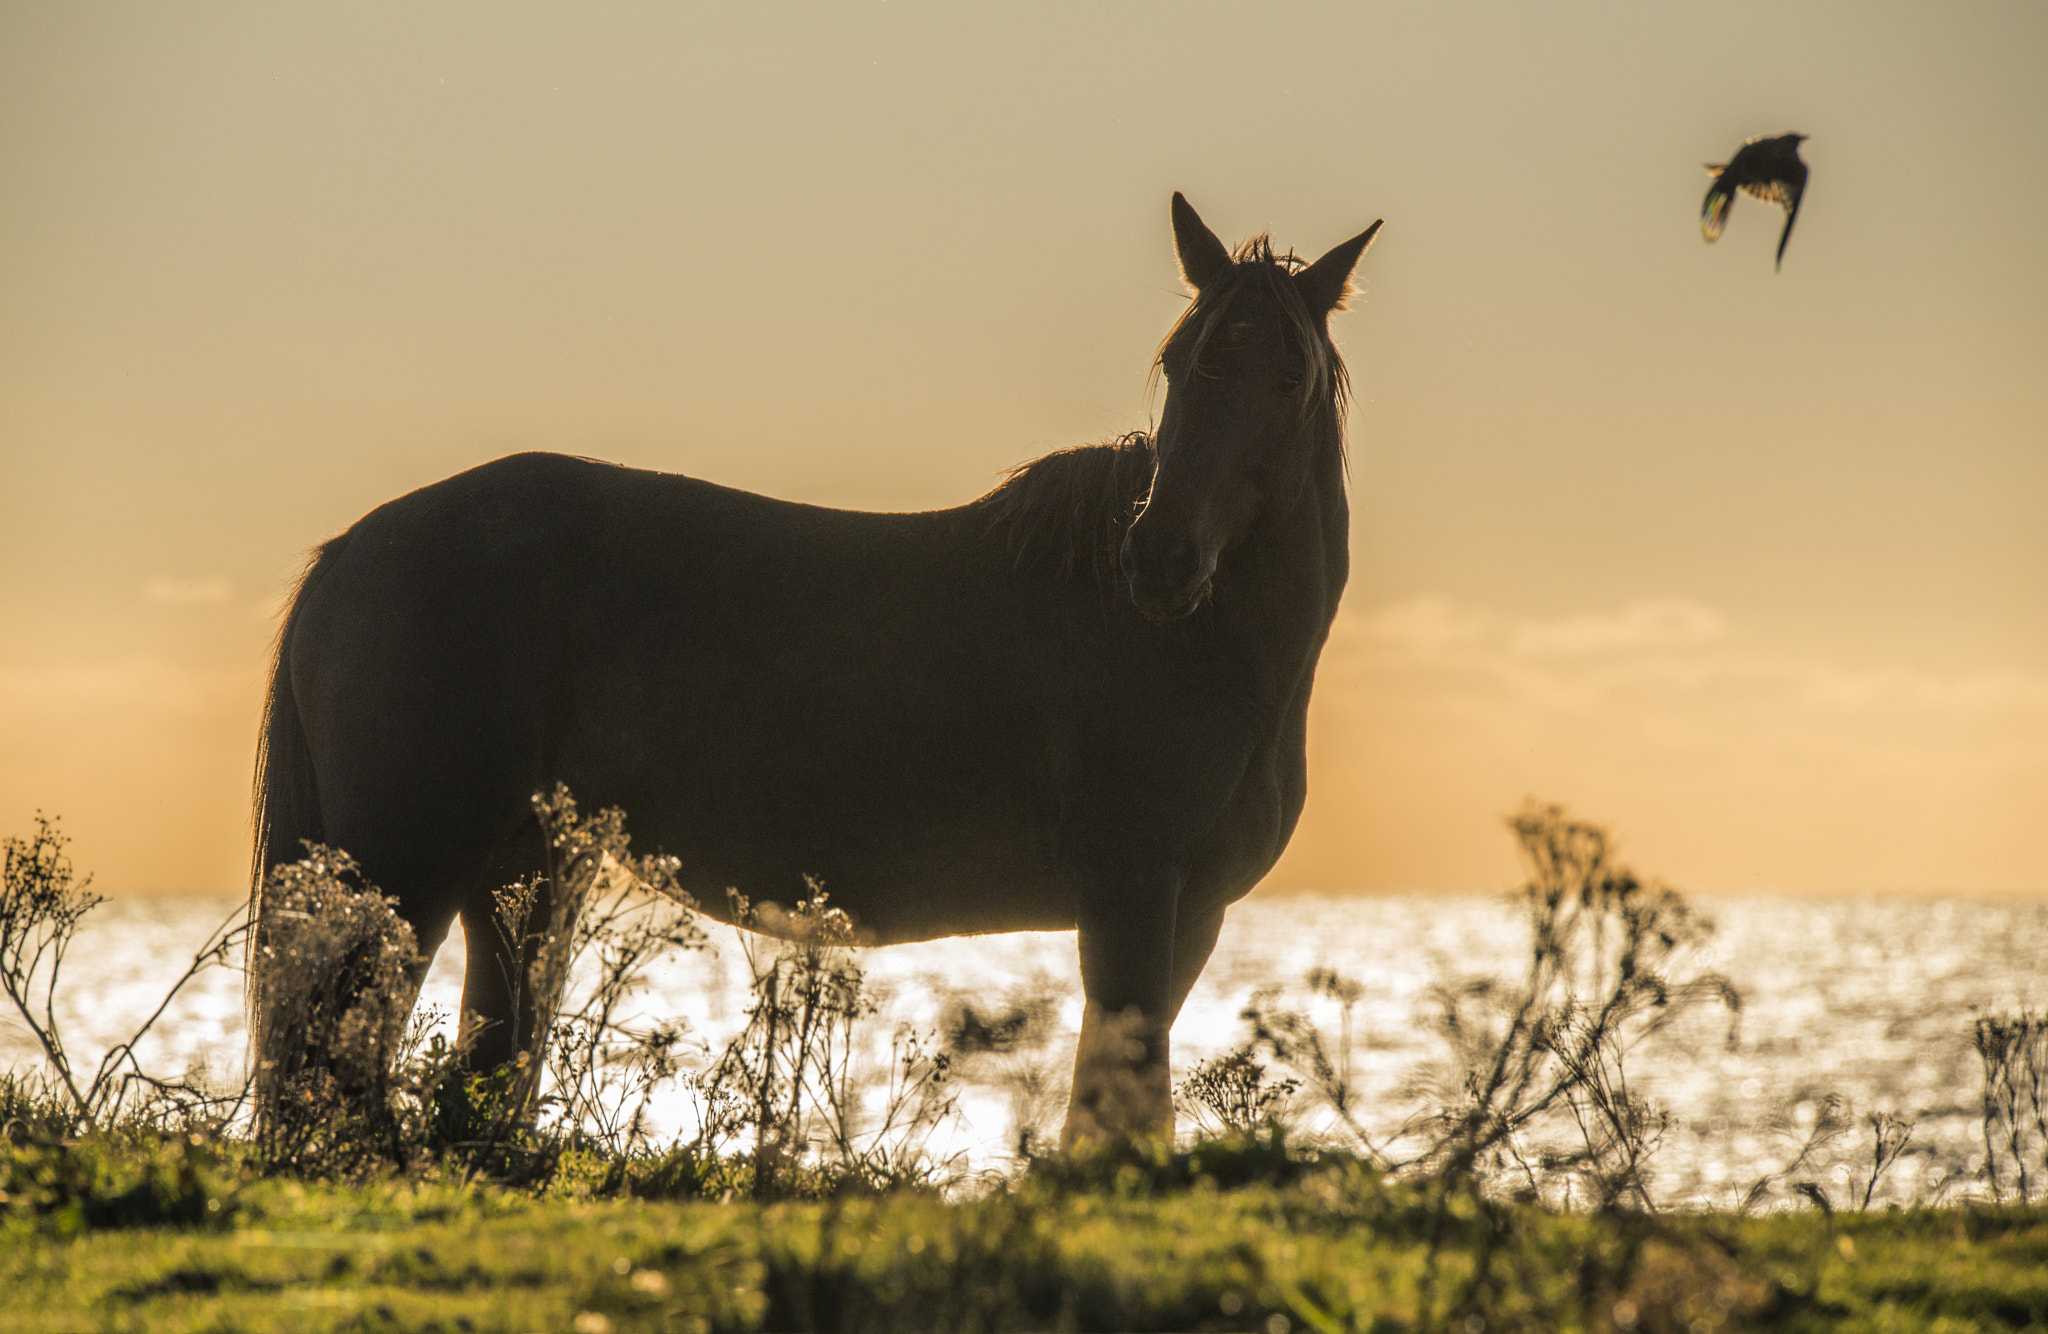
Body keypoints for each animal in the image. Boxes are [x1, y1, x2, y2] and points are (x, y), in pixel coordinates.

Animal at [250, 194, 1382, 1147]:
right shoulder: (1131, 894)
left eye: (1285, 380)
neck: (1200, 648)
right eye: (1180, 365)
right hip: (403, 871)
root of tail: (354, 546)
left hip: (519, 875)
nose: (1158, 561)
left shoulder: (1193, 914)